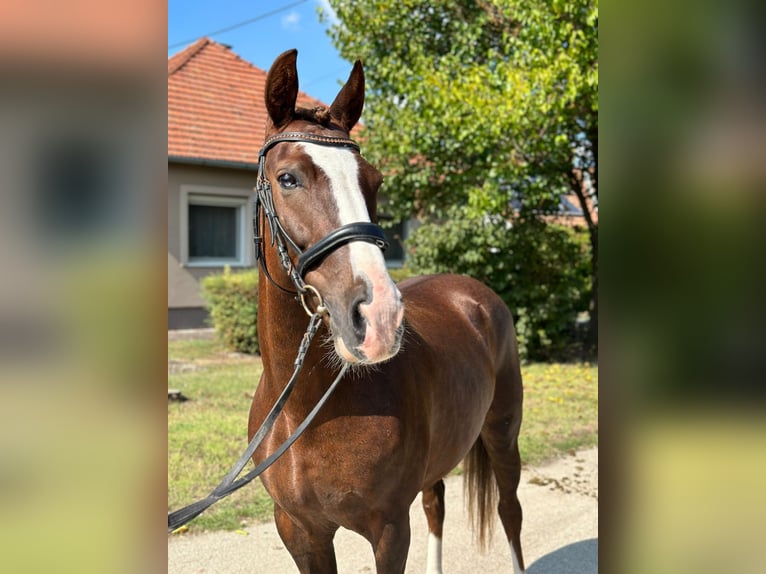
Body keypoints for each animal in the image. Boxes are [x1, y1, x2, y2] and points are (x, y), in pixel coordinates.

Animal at [252, 50, 528, 574]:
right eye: (288, 179)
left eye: (374, 181)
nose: (378, 317)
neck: (307, 413)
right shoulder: (299, 531)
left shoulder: (389, 529)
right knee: (437, 504)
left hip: (503, 434)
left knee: (509, 512)